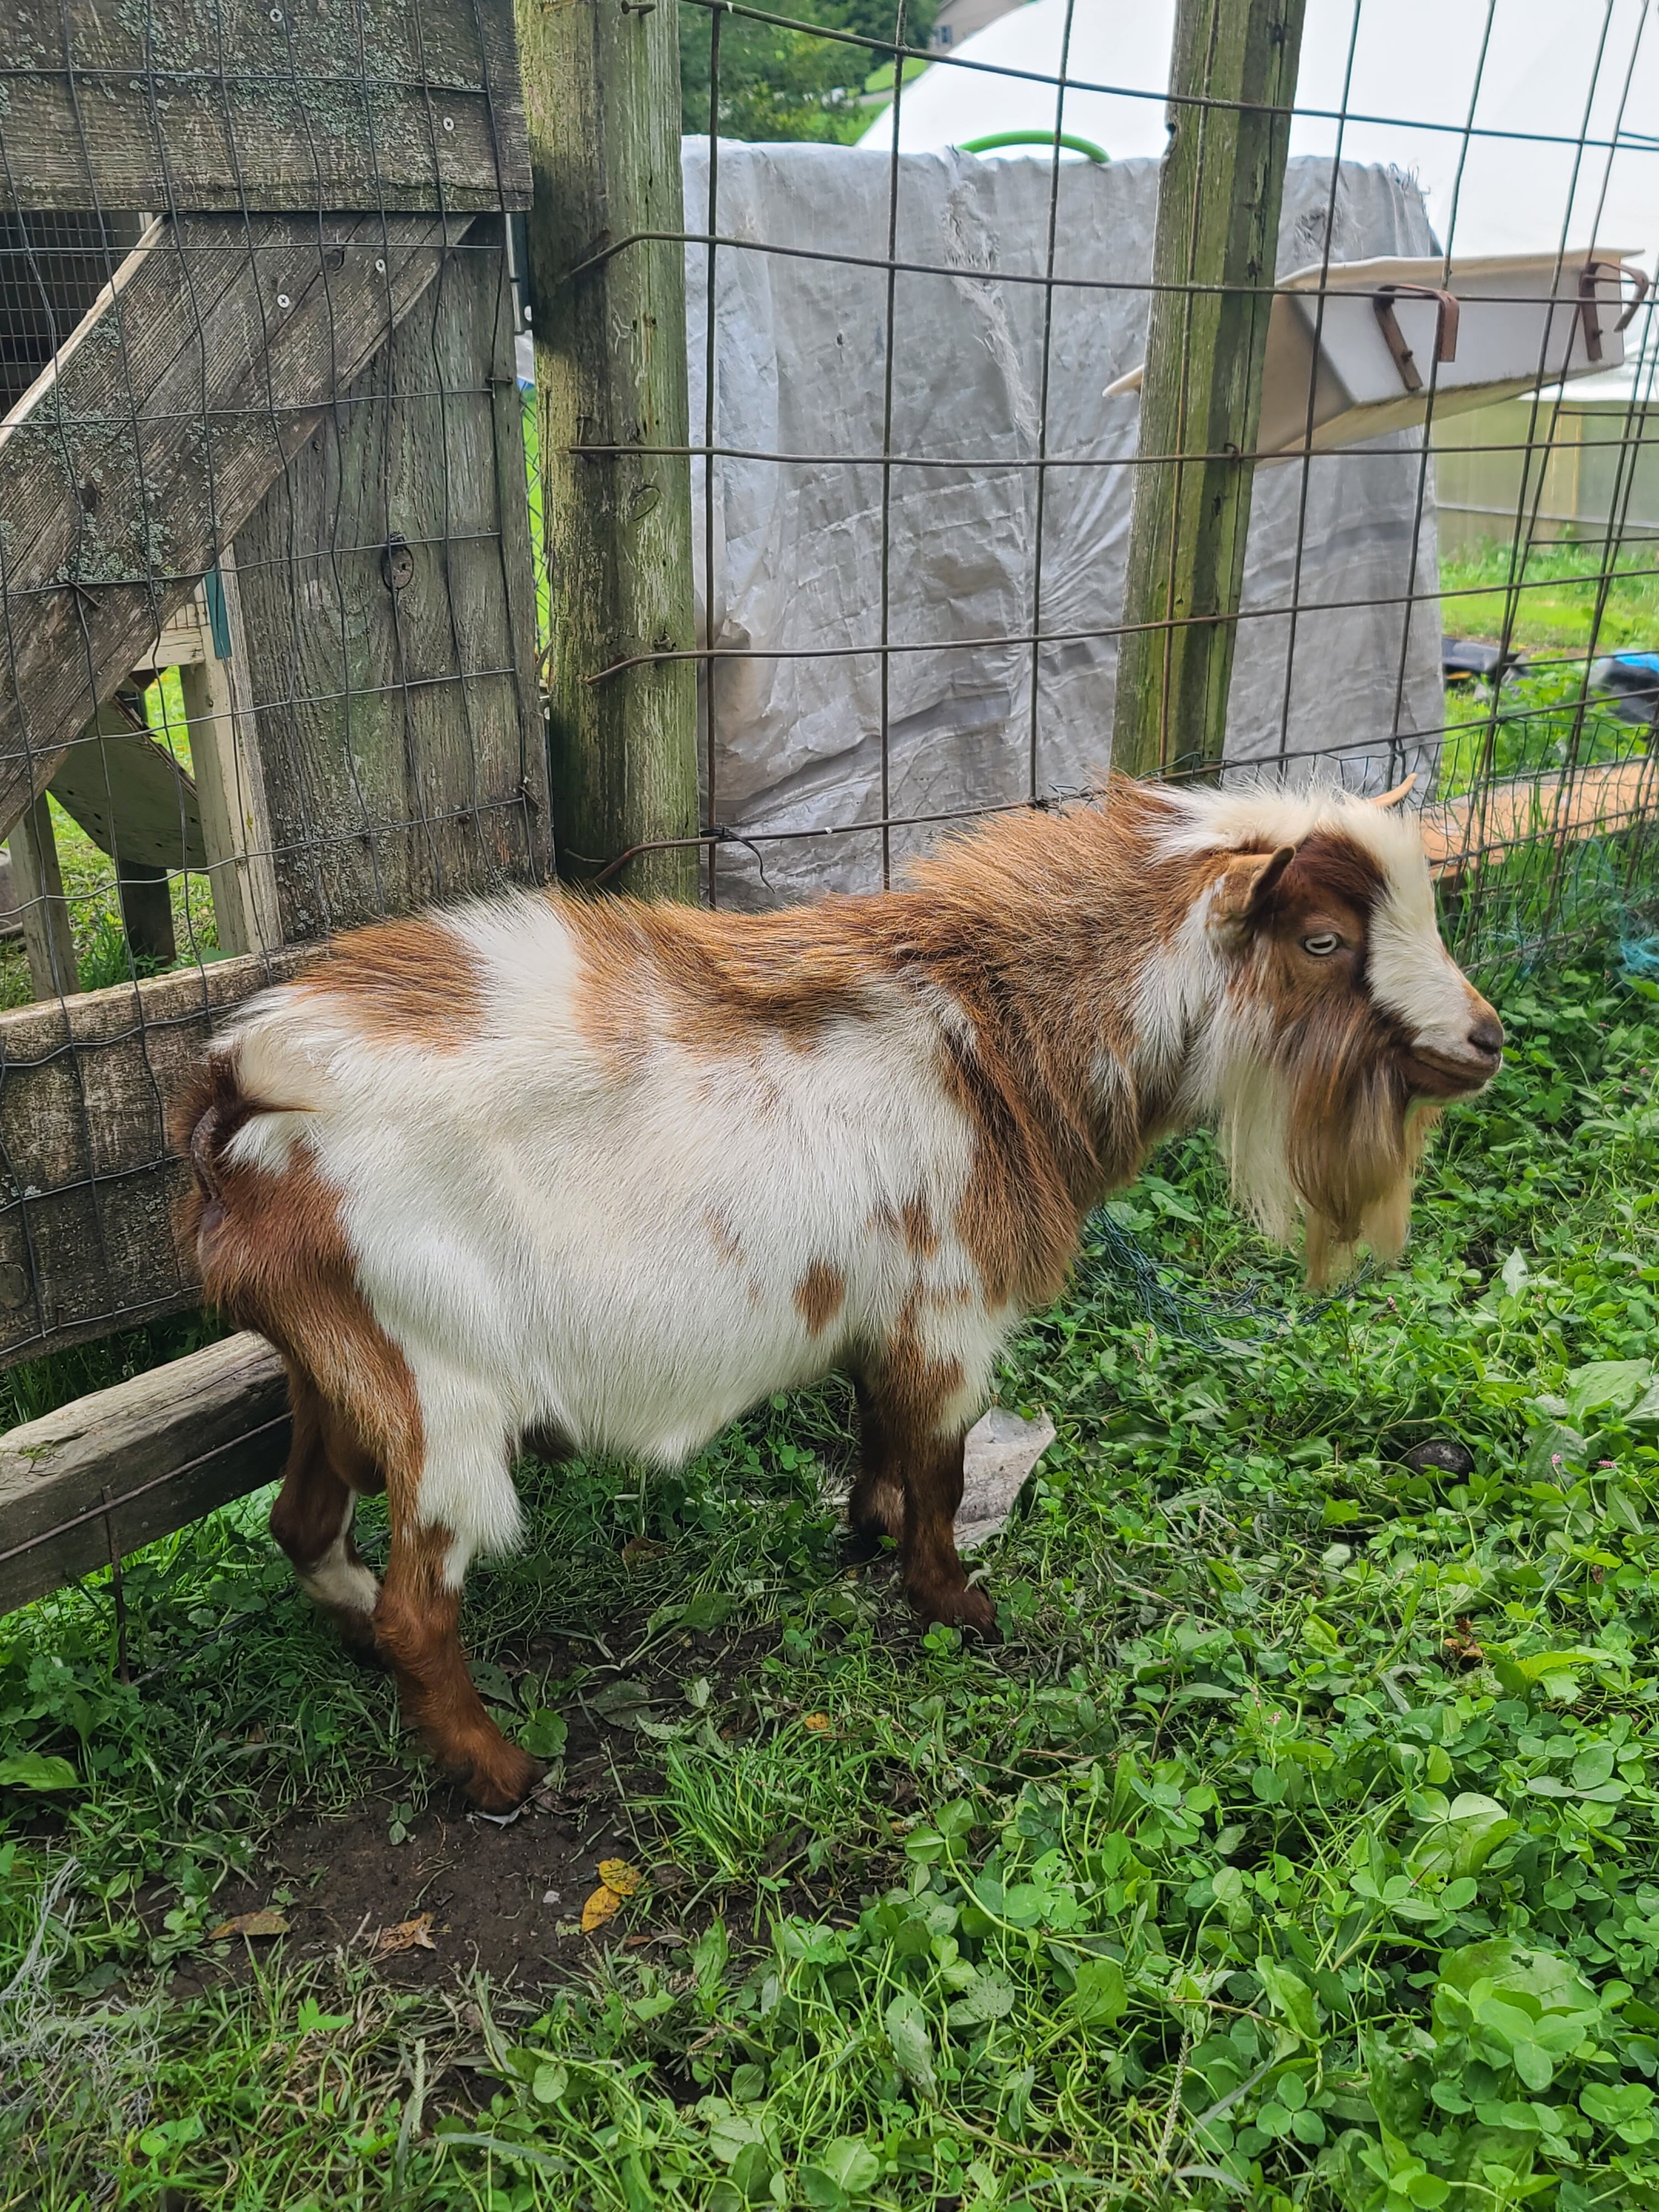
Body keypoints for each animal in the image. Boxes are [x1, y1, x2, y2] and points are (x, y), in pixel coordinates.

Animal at [172, 775, 1502, 1809]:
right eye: (1322, 941)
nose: (1485, 1039)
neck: (994, 1038)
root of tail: (245, 1094)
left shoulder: (889, 1311)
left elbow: (881, 1427)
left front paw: (865, 1526)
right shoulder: (953, 1311)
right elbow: (946, 1469)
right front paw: (953, 1601)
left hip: (338, 1375)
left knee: (302, 1520)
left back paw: (355, 1633)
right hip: (440, 1399)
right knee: (420, 1609)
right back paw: (498, 1769)